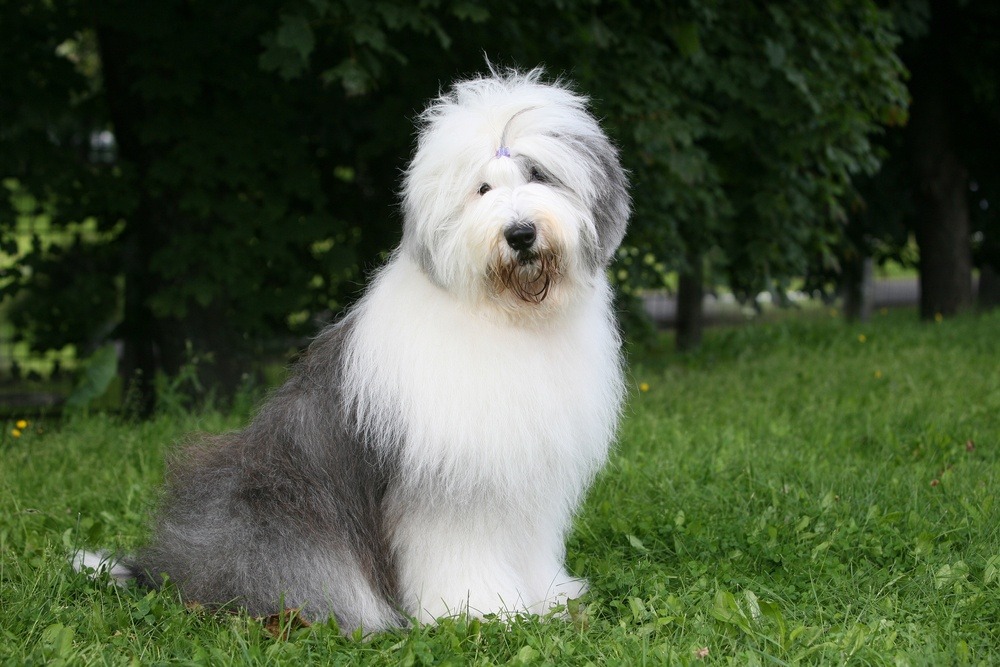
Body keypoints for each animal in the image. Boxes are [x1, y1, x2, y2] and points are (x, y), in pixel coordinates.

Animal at [76, 65, 624, 636]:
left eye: (539, 175)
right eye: (482, 188)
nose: (520, 234)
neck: (504, 315)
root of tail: (175, 571)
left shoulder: (531, 480)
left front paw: (551, 598)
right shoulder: (451, 486)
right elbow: (463, 552)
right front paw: (481, 611)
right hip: (279, 520)